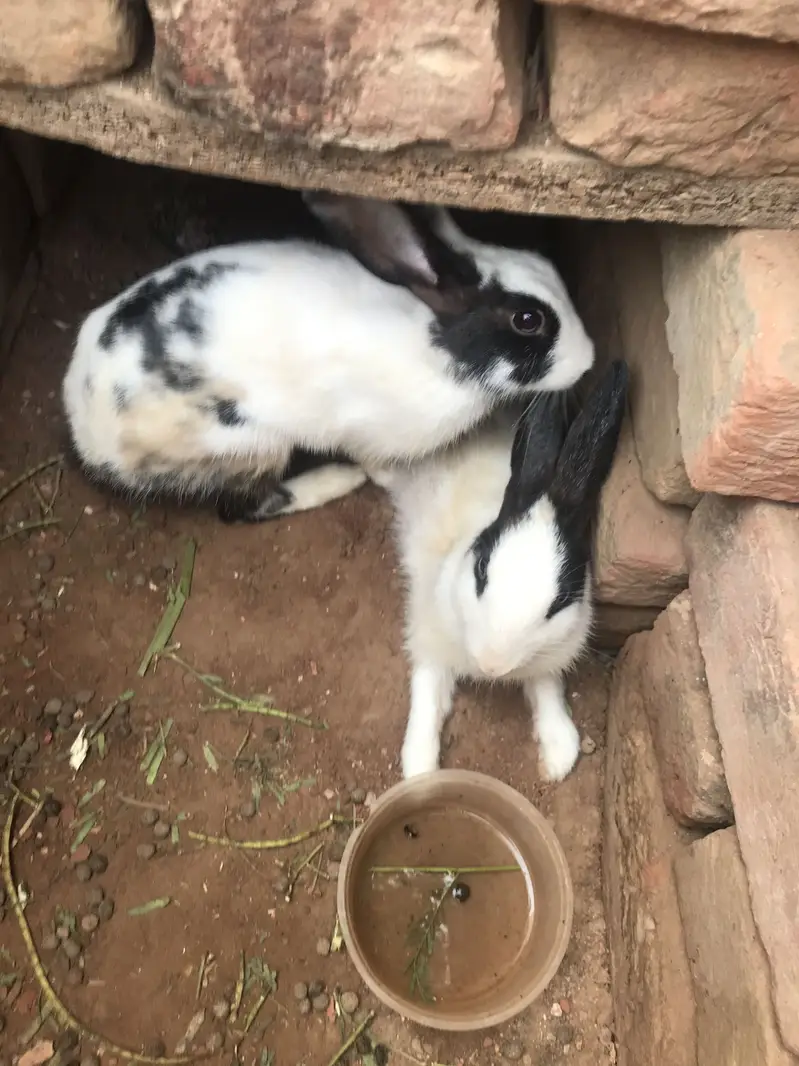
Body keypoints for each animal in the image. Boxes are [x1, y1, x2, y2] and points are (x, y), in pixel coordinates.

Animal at [62, 191, 595, 522]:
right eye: (528, 320)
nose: (589, 359)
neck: (437, 344)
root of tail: (84, 424)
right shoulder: (363, 430)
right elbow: (375, 462)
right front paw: (383, 477)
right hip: (251, 444)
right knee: (241, 507)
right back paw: (336, 480)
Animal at [365, 359, 628, 782]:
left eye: (558, 603)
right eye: (480, 570)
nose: (492, 665)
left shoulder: (549, 656)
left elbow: (547, 690)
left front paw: (559, 754)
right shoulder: (428, 639)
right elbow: (427, 698)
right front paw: (420, 769)